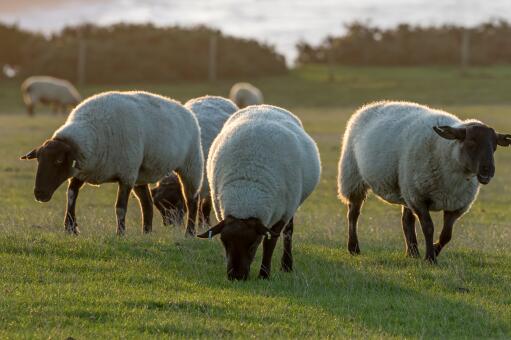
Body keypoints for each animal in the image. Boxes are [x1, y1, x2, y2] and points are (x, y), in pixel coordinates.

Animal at [20, 91, 204, 238]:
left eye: (58, 161)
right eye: (38, 160)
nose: (39, 194)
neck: (92, 130)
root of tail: (183, 108)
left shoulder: (126, 175)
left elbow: (120, 207)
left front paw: (120, 234)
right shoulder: (82, 171)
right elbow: (71, 197)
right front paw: (70, 228)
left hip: (191, 165)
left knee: (192, 201)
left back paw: (189, 233)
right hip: (140, 173)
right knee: (147, 203)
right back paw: (146, 233)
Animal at [151, 95, 239, 227]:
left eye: (178, 202)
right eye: (158, 205)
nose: (171, 226)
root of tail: (212, 96)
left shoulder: (206, 185)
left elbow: (205, 207)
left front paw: (204, 225)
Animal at [198, 105, 322, 280]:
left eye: (253, 244)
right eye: (224, 242)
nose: (236, 277)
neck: (245, 195)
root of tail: (265, 106)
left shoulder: (281, 213)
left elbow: (270, 243)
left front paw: (264, 274)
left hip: (291, 205)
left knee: (288, 233)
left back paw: (286, 265)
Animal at [338, 101, 510, 262]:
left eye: (495, 146)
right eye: (471, 143)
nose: (488, 170)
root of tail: (369, 105)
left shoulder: (456, 205)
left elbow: (446, 235)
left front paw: (434, 250)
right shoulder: (419, 198)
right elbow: (428, 228)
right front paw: (430, 258)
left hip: (405, 187)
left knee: (406, 220)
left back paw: (412, 253)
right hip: (353, 177)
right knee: (353, 214)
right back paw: (353, 248)